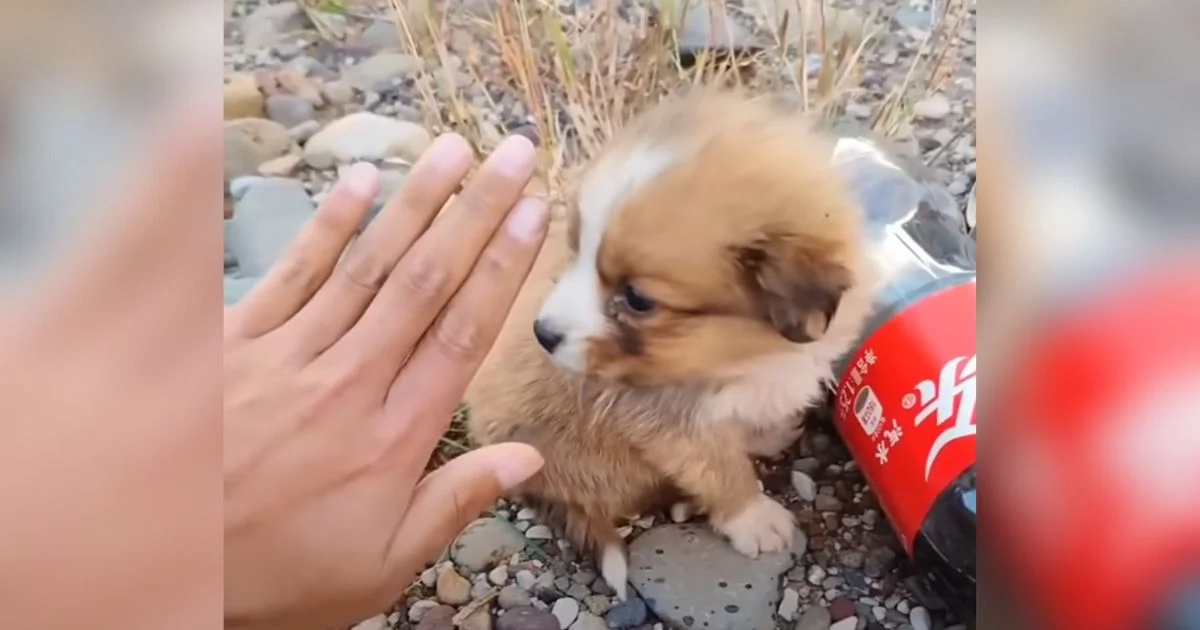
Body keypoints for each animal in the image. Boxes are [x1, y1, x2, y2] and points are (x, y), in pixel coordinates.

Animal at [463, 85, 878, 597]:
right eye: (575, 248)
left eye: (637, 298)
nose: (544, 334)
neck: (745, 356)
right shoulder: (667, 423)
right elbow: (721, 469)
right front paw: (753, 518)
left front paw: (764, 432)